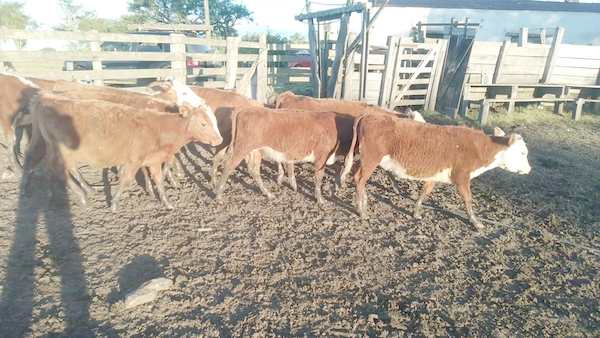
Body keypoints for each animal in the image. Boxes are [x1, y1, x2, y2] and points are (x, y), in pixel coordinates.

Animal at [21, 92, 224, 213]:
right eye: (203, 124)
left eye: (215, 121)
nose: (219, 140)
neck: (160, 127)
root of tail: (47, 98)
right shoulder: (134, 160)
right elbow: (125, 180)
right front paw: (115, 203)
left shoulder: (153, 160)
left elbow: (159, 181)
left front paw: (167, 202)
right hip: (63, 151)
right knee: (58, 169)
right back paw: (83, 197)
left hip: (50, 147)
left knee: (47, 168)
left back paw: (56, 196)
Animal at [214, 107, 352, 205]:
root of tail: (245, 109)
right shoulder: (321, 157)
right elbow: (319, 177)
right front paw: (320, 199)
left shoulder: (329, 157)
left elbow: (337, 168)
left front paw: (336, 186)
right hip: (242, 148)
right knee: (229, 165)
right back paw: (219, 196)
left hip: (255, 151)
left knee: (254, 169)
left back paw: (268, 193)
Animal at [344, 114, 532, 230]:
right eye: (522, 152)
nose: (529, 169)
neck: (478, 147)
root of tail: (369, 115)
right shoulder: (462, 176)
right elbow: (468, 199)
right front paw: (475, 222)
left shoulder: (435, 174)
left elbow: (425, 192)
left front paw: (416, 212)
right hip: (371, 159)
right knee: (359, 180)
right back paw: (361, 211)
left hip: (364, 159)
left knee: (357, 177)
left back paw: (364, 202)